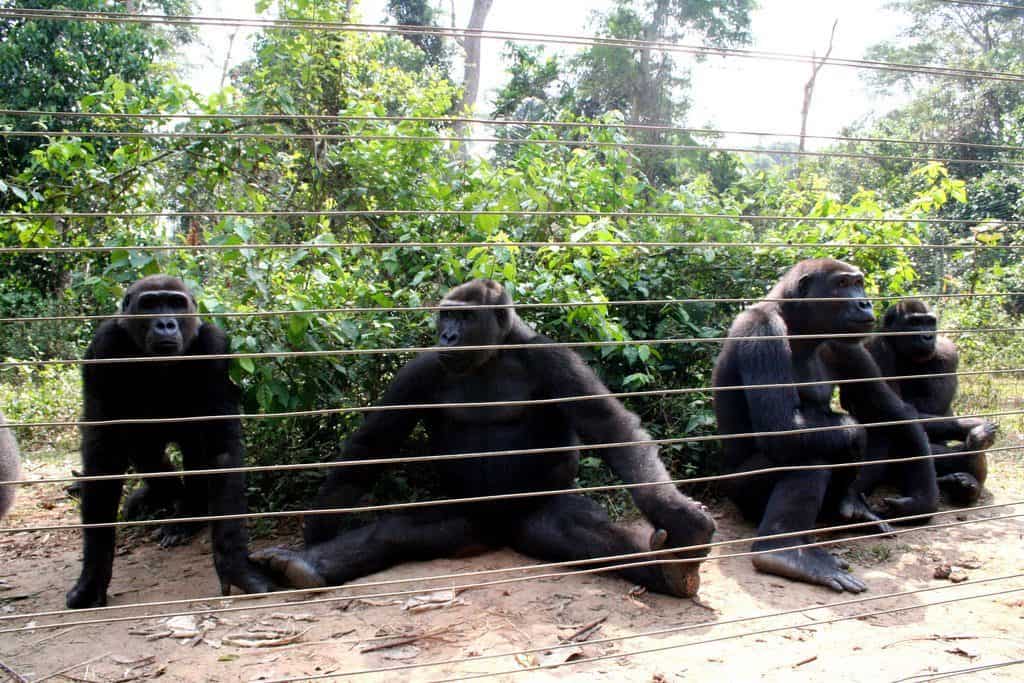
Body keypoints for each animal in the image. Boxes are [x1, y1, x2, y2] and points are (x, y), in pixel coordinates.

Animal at [65, 276, 274, 610]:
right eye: (150, 304)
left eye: (176, 303)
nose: (165, 323)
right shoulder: (103, 347)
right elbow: (103, 454)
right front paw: (92, 577)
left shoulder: (213, 347)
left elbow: (221, 449)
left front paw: (234, 564)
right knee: (144, 449)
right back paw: (163, 495)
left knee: (194, 448)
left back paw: (189, 512)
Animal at [251, 278, 716, 598]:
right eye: (445, 315)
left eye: (466, 316)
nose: (448, 335)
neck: (493, 354)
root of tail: (499, 534)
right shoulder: (421, 368)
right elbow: (374, 442)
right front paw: (319, 528)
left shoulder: (553, 355)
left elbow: (610, 426)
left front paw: (675, 512)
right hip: (468, 519)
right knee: (394, 533)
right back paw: (308, 567)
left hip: (528, 512)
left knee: (585, 532)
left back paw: (670, 571)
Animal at [712, 259, 937, 589]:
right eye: (843, 284)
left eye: (859, 283)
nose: (864, 302)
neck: (797, 324)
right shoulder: (762, 332)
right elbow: (783, 431)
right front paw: (853, 431)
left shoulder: (847, 345)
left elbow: (891, 410)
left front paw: (922, 502)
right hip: (739, 494)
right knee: (809, 458)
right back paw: (783, 552)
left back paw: (848, 507)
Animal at [851, 301, 995, 507]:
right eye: (914, 323)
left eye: (929, 322)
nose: (927, 336)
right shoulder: (876, 348)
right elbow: (892, 411)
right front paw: (973, 427)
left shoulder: (947, 351)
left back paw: (970, 484)